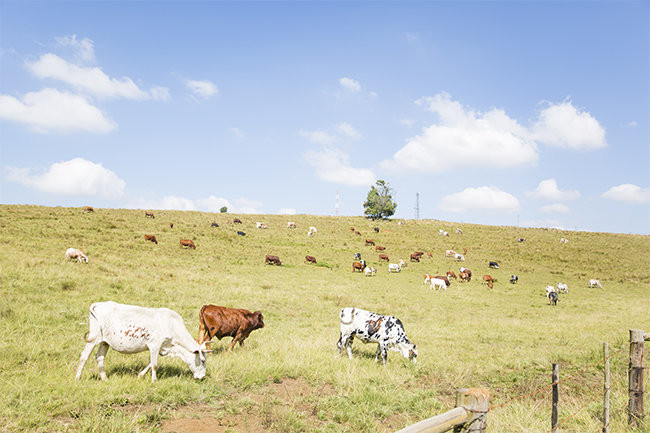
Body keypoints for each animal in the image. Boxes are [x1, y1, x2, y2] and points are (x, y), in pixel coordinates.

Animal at [75, 300, 208, 382]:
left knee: (100, 357)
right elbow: (154, 364)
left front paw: (140, 375)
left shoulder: (161, 348)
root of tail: (98, 304)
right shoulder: (155, 345)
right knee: (84, 356)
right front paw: (154, 381)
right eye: (202, 360)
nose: (202, 377)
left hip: (104, 342)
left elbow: (150, 363)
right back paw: (78, 377)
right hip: (93, 338)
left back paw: (104, 378)